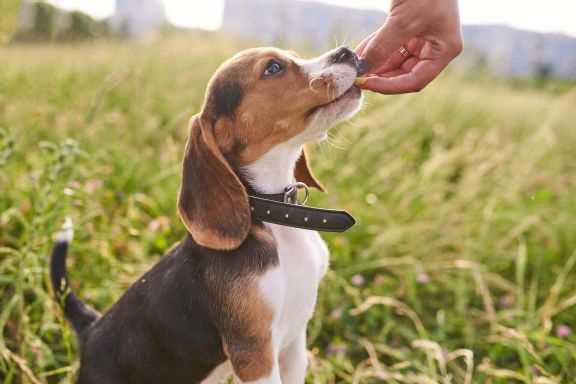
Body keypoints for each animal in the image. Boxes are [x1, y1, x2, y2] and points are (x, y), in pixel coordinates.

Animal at [50, 46, 364, 382]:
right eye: (273, 68)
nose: (347, 52)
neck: (275, 220)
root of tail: (91, 330)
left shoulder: (294, 344)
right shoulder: (255, 355)